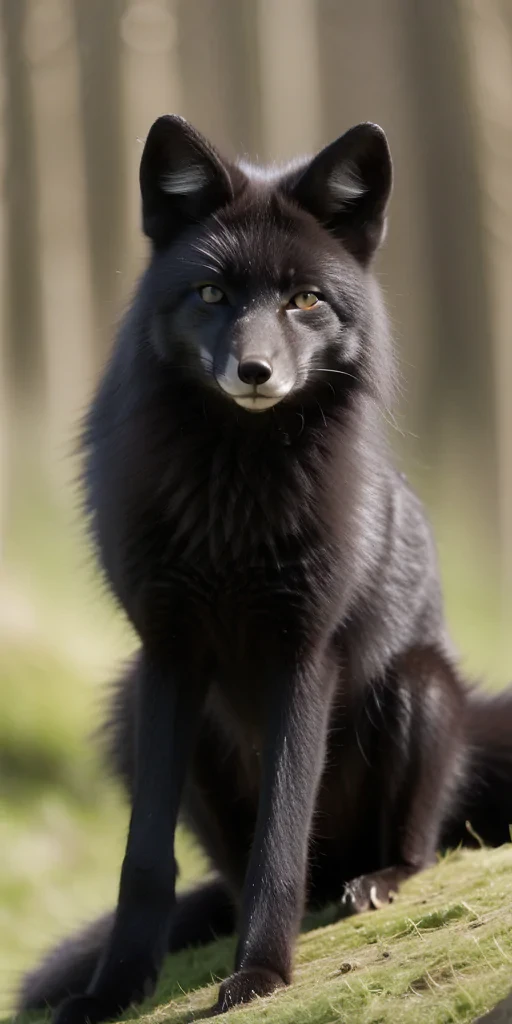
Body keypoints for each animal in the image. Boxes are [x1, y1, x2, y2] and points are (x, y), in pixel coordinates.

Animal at [18, 115, 512, 1023]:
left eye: (305, 300)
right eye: (212, 295)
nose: (256, 372)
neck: (231, 499)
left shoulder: (303, 653)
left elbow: (282, 839)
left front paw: (261, 976)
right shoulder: (167, 654)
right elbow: (143, 861)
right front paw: (115, 987)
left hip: (419, 689)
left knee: (414, 847)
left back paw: (373, 882)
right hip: (126, 705)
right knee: (223, 879)